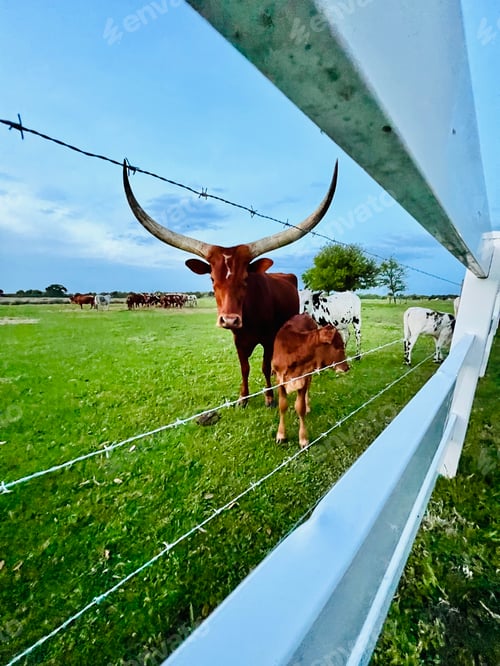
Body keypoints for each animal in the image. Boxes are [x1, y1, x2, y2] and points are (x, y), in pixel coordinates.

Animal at [123, 160, 338, 406]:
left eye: (245, 278)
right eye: (212, 279)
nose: (229, 320)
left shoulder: (268, 339)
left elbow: (264, 366)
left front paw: (269, 396)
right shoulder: (238, 341)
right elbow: (244, 368)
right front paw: (243, 397)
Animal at [272, 313, 349, 448]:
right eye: (339, 347)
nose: (346, 368)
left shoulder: (304, 377)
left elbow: (300, 407)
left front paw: (303, 439)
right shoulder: (279, 380)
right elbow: (282, 406)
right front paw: (281, 435)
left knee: (308, 389)